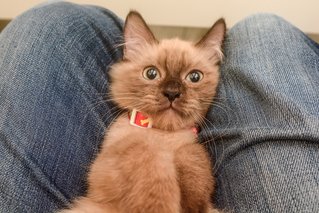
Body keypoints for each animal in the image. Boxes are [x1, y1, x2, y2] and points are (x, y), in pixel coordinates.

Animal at [61, 10, 226, 213]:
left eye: (194, 77)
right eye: (151, 74)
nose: (172, 93)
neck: (164, 136)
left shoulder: (192, 150)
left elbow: (194, 157)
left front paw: (193, 204)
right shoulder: (108, 166)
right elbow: (148, 157)